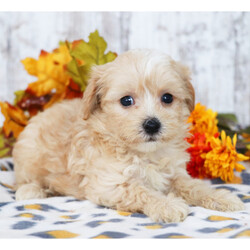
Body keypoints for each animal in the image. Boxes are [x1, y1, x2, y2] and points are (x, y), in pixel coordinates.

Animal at [12, 49, 244, 222]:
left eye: (167, 98)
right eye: (126, 101)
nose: (152, 125)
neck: (145, 154)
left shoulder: (174, 174)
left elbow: (193, 186)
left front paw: (221, 198)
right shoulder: (109, 184)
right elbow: (140, 191)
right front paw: (166, 204)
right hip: (28, 156)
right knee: (24, 180)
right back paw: (31, 190)